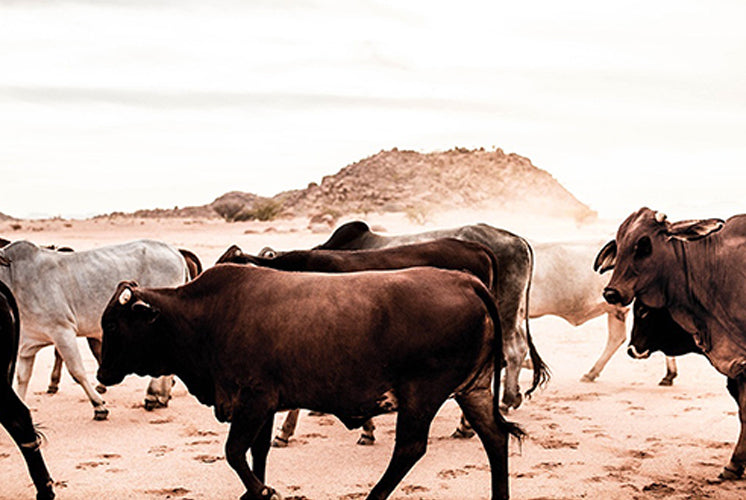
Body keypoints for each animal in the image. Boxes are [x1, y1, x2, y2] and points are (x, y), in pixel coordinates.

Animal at [0, 238, 189, 418]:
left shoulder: (62, 331)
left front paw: (99, 406)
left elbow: (77, 371)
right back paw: (161, 396)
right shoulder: (27, 345)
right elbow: (22, 377)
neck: (14, 276)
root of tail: (175, 252)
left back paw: (153, 395)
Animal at [97, 266, 524, 500]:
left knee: (410, 449)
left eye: (114, 324)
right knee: (495, 437)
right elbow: (257, 452)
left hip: (422, 396)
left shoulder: (254, 400)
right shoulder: (265, 406)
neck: (206, 316)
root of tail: (465, 281)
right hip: (473, 390)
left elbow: (234, 452)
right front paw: (256, 490)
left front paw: (263, 491)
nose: (101, 375)